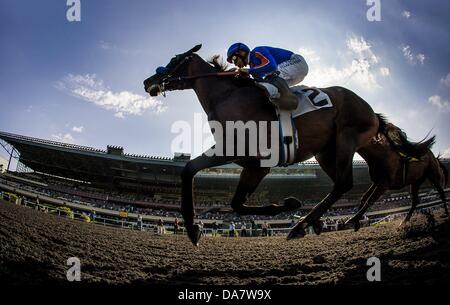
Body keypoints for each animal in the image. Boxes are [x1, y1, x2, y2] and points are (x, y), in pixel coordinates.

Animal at [143, 45, 380, 245]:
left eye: (174, 60)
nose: (147, 81)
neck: (226, 95)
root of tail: (370, 110)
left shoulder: (233, 149)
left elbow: (189, 170)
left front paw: (193, 228)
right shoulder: (254, 165)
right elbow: (237, 204)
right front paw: (290, 204)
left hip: (346, 139)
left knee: (344, 184)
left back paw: (301, 226)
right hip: (327, 152)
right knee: (350, 184)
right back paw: (317, 222)